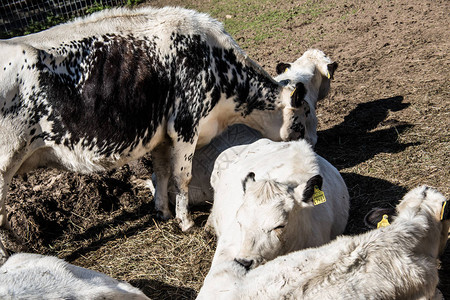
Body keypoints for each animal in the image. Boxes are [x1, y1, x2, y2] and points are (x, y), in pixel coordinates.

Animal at [0, 6, 310, 253]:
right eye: (299, 122)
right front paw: (185, 222)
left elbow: (160, 172)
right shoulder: (185, 126)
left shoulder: (162, 136)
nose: (304, 144)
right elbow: (181, 177)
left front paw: (162, 211)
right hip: (6, 161)